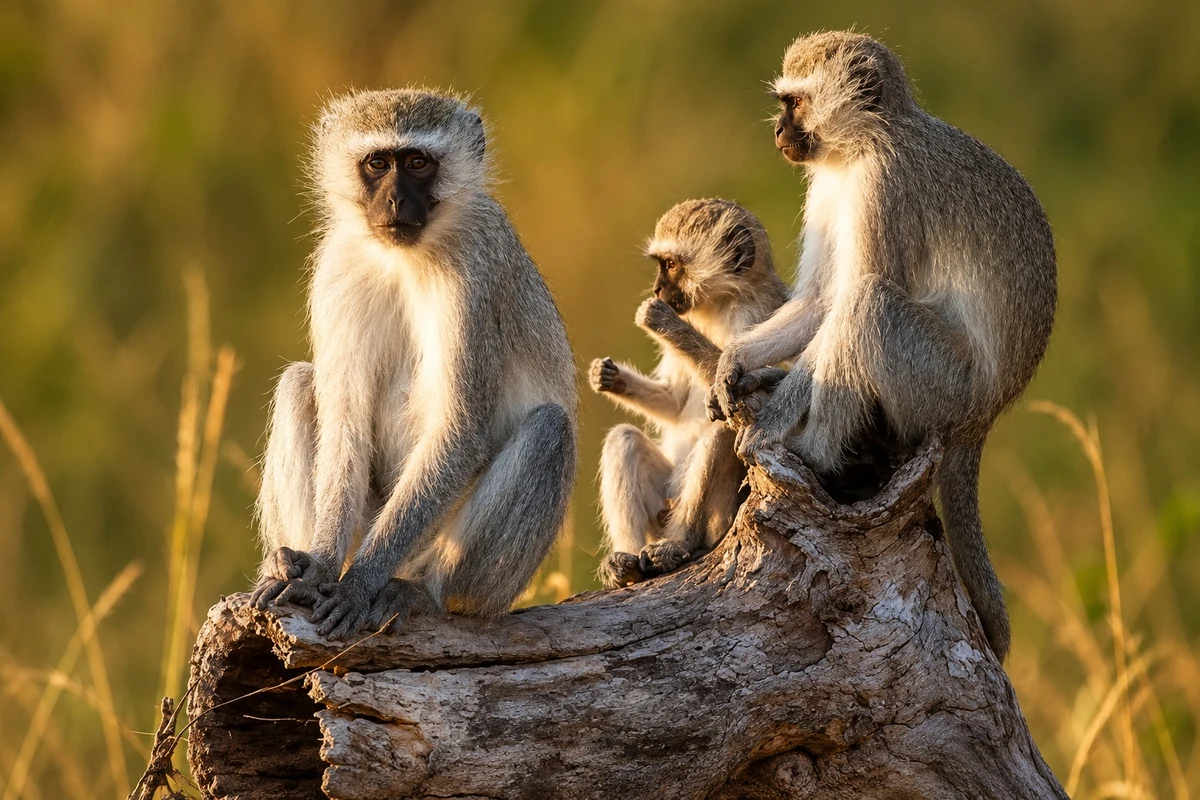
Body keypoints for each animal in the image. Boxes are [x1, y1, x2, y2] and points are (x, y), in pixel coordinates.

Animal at [248, 88, 578, 641]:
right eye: (378, 164)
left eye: (419, 164)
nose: (396, 201)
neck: (403, 257)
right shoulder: (336, 264)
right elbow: (345, 421)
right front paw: (318, 568)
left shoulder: (474, 274)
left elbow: (460, 429)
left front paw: (359, 584)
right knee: (297, 382)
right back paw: (290, 563)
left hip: (461, 563)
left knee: (549, 428)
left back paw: (424, 592)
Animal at [590, 199, 788, 589]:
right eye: (661, 264)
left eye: (671, 265)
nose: (656, 291)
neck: (720, 305)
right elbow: (674, 401)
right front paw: (608, 376)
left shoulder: (759, 315)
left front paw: (660, 319)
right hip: (663, 500)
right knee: (623, 439)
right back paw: (626, 562)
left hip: (718, 517)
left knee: (721, 431)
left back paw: (677, 544)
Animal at [709, 32, 1057, 661]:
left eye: (795, 102)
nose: (778, 131)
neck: (862, 145)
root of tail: (986, 415)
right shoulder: (828, 183)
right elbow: (821, 299)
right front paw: (735, 363)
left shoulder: (882, 185)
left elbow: (849, 298)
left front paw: (769, 426)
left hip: (942, 387)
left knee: (867, 304)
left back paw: (816, 453)